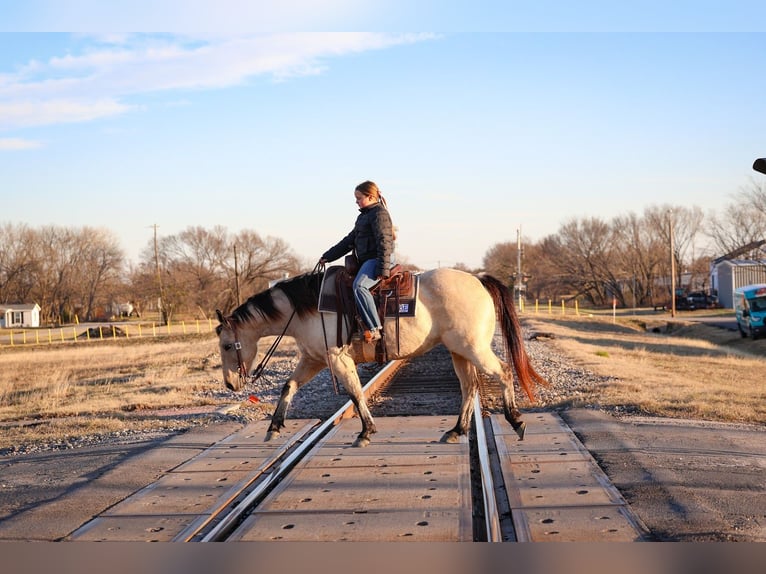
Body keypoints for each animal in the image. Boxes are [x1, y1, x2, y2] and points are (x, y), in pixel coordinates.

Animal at [216, 267, 547, 447]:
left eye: (227, 346)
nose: (230, 384)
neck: (306, 308)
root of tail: (478, 280)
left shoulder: (338, 360)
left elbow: (354, 393)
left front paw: (365, 432)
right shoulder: (313, 360)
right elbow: (289, 386)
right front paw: (273, 428)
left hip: (473, 348)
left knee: (503, 372)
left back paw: (516, 421)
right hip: (459, 351)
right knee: (469, 387)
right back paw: (456, 430)